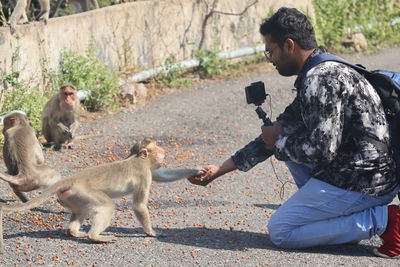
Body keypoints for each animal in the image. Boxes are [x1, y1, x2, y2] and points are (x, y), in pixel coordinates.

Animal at [0, 138, 202, 253]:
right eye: (159, 149)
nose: (163, 153)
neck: (138, 158)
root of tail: (71, 179)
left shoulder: (150, 170)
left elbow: (163, 175)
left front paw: (196, 170)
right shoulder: (144, 173)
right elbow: (139, 205)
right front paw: (151, 232)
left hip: (71, 196)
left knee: (80, 211)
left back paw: (75, 232)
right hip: (84, 192)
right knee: (107, 206)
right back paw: (95, 236)